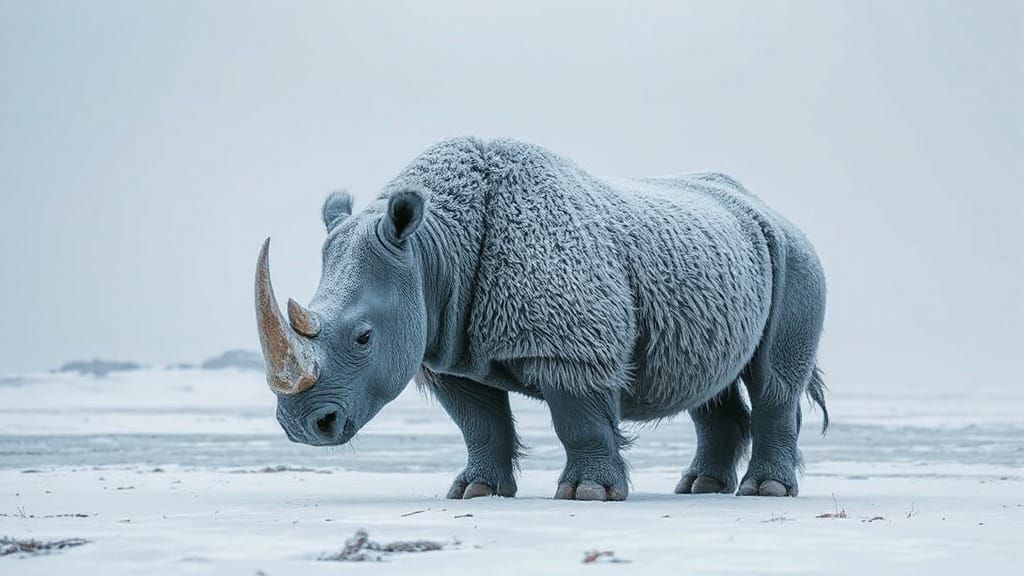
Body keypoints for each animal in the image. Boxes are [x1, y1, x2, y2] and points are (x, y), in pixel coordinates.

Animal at [255, 137, 827, 501]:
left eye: (363, 337)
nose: (304, 427)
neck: (432, 248)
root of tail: (771, 210)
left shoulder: (572, 346)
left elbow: (577, 419)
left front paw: (587, 494)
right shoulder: (447, 350)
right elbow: (478, 423)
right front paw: (475, 492)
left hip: (796, 258)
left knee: (772, 379)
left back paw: (765, 492)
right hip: (720, 263)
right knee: (710, 385)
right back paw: (700, 489)